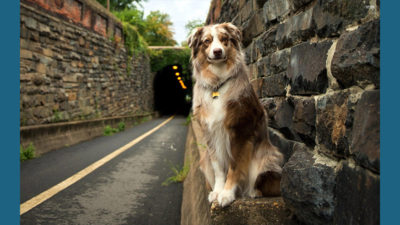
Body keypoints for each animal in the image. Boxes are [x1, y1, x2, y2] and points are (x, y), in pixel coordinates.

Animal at [188, 23, 284, 207]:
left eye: (224, 39)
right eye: (206, 41)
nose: (217, 51)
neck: (217, 83)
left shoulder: (240, 130)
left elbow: (235, 166)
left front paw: (227, 194)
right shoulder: (210, 134)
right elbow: (219, 167)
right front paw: (218, 191)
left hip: (267, 159)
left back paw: (253, 192)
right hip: (204, 160)